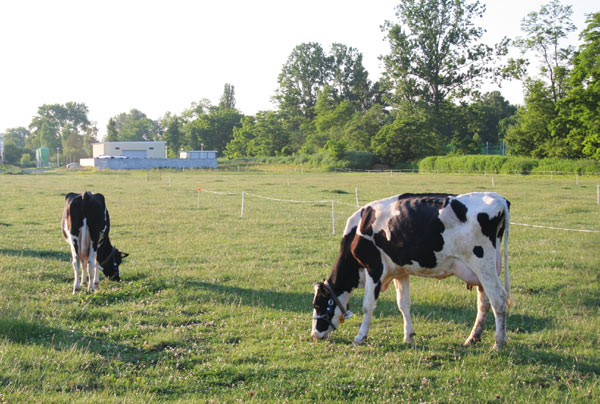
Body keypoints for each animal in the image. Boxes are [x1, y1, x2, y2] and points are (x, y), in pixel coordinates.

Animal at [312, 192, 512, 348]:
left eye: (317, 305)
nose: (314, 334)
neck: (358, 229)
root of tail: (498, 197)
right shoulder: (400, 272)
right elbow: (403, 304)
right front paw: (408, 336)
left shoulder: (374, 269)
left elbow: (368, 306)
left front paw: (360, 337)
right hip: (484, 271)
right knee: (484, 303)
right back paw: (473, 338)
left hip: (482, 264)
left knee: (498, 299)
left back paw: (498, 343)